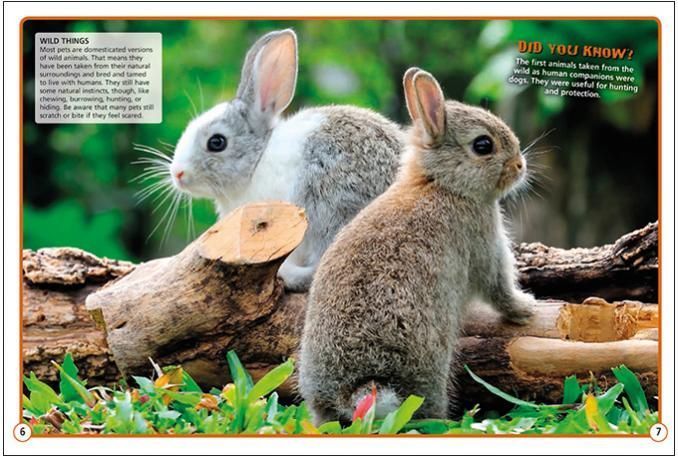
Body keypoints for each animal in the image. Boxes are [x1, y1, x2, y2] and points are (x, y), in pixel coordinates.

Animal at [298, 68, 536, 425]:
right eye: (483, 145)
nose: (520, 166)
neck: (442, 184)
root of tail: (354, 388)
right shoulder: (484, 244)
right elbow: (499, 289)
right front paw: (526, 309)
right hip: (429, 367)